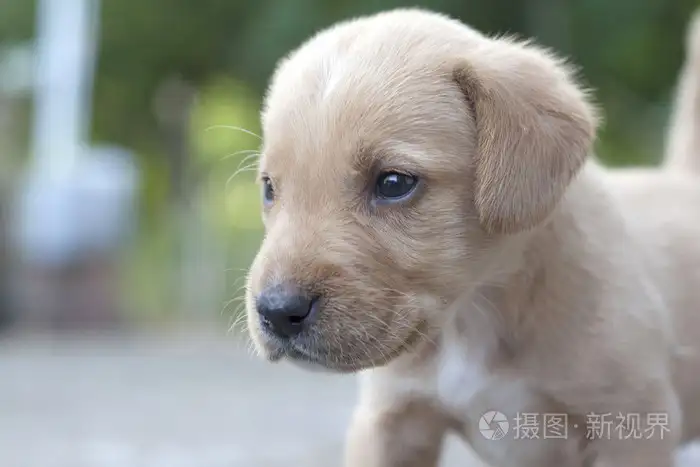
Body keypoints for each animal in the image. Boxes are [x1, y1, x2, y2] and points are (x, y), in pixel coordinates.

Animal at [243, 8, 700, 467]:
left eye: (393, 183)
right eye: (269, 188)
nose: (277, 311)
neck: (470, 315)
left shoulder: (633, 425)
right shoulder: (390, 421)